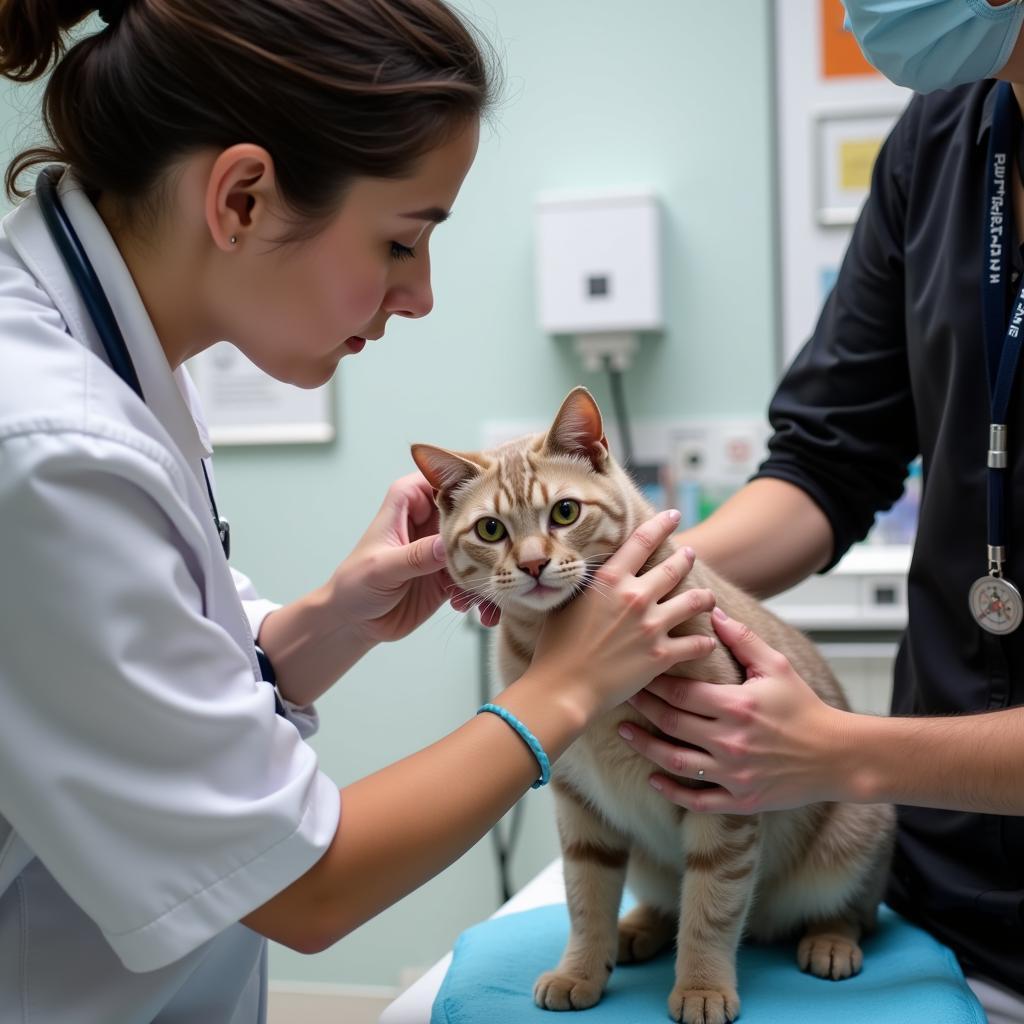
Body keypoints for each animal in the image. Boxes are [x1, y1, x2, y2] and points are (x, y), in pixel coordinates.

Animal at [411, 385, 892, 1024]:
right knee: (665, 901)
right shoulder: (580, 806)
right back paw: (637, 929)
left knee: (854, 910)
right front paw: (580, 971)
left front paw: (702, 988)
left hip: (855, 834)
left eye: (564, 513)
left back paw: (830, 940)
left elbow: (711, 907)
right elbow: (586, 900)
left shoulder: (723, 794)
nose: (534, 564)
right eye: (490, 529)